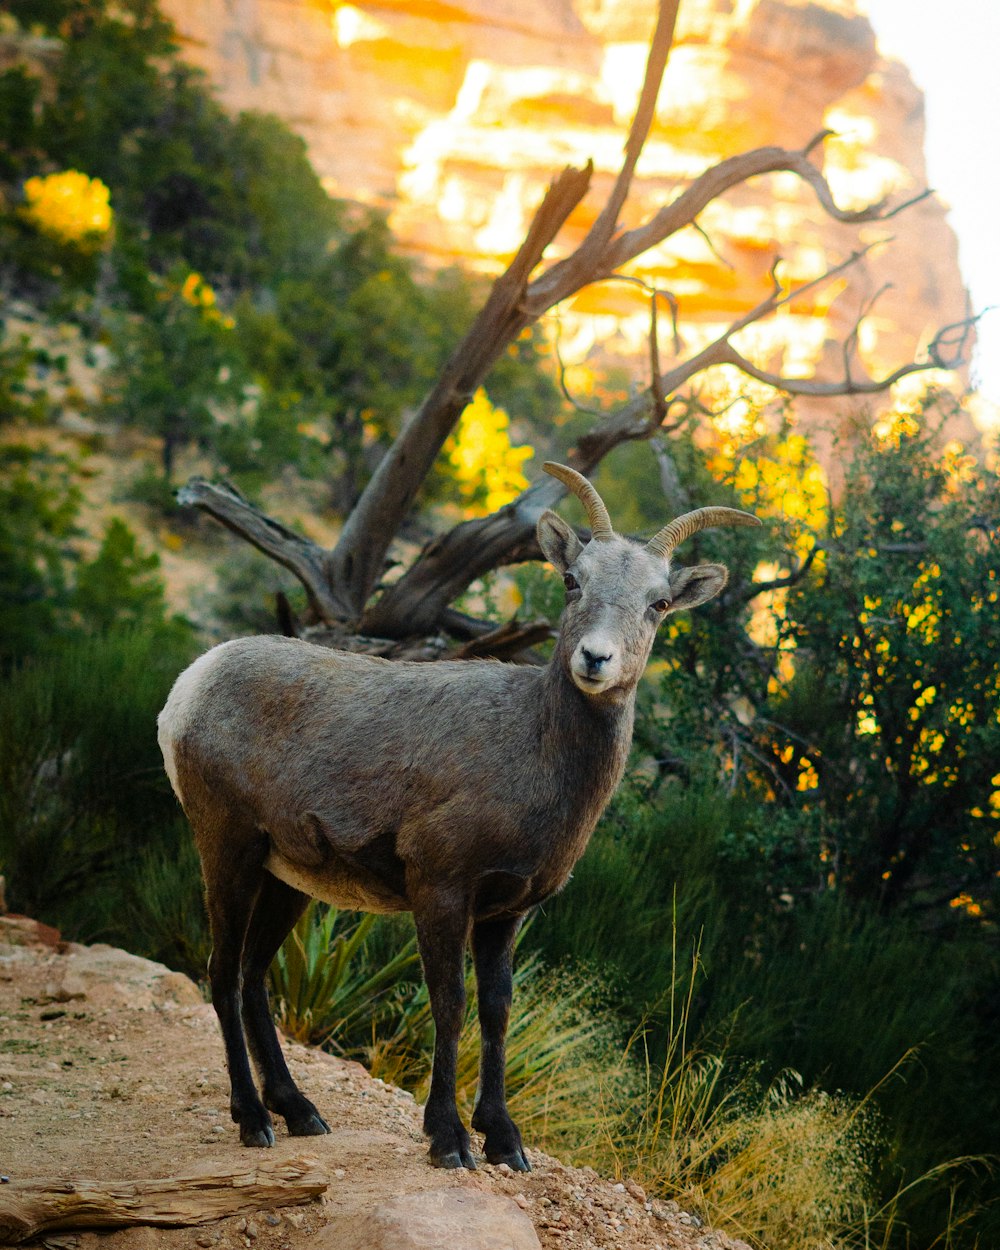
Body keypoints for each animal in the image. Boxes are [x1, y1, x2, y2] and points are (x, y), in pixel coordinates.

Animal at [156, 462, 760, 1170]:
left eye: (658, 604)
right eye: (572, 580)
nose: (596, 659)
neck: (535, 751)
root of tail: (190, 688)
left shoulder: (506, 912)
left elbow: (496, 1011)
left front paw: (504, 1140)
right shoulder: (441, 889)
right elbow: (450, 1005)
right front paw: (448, 1139)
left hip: (288, 879)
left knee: (254, 976)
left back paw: (301, 1112)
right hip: (229, 850)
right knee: (222, 973)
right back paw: (253, 1119)